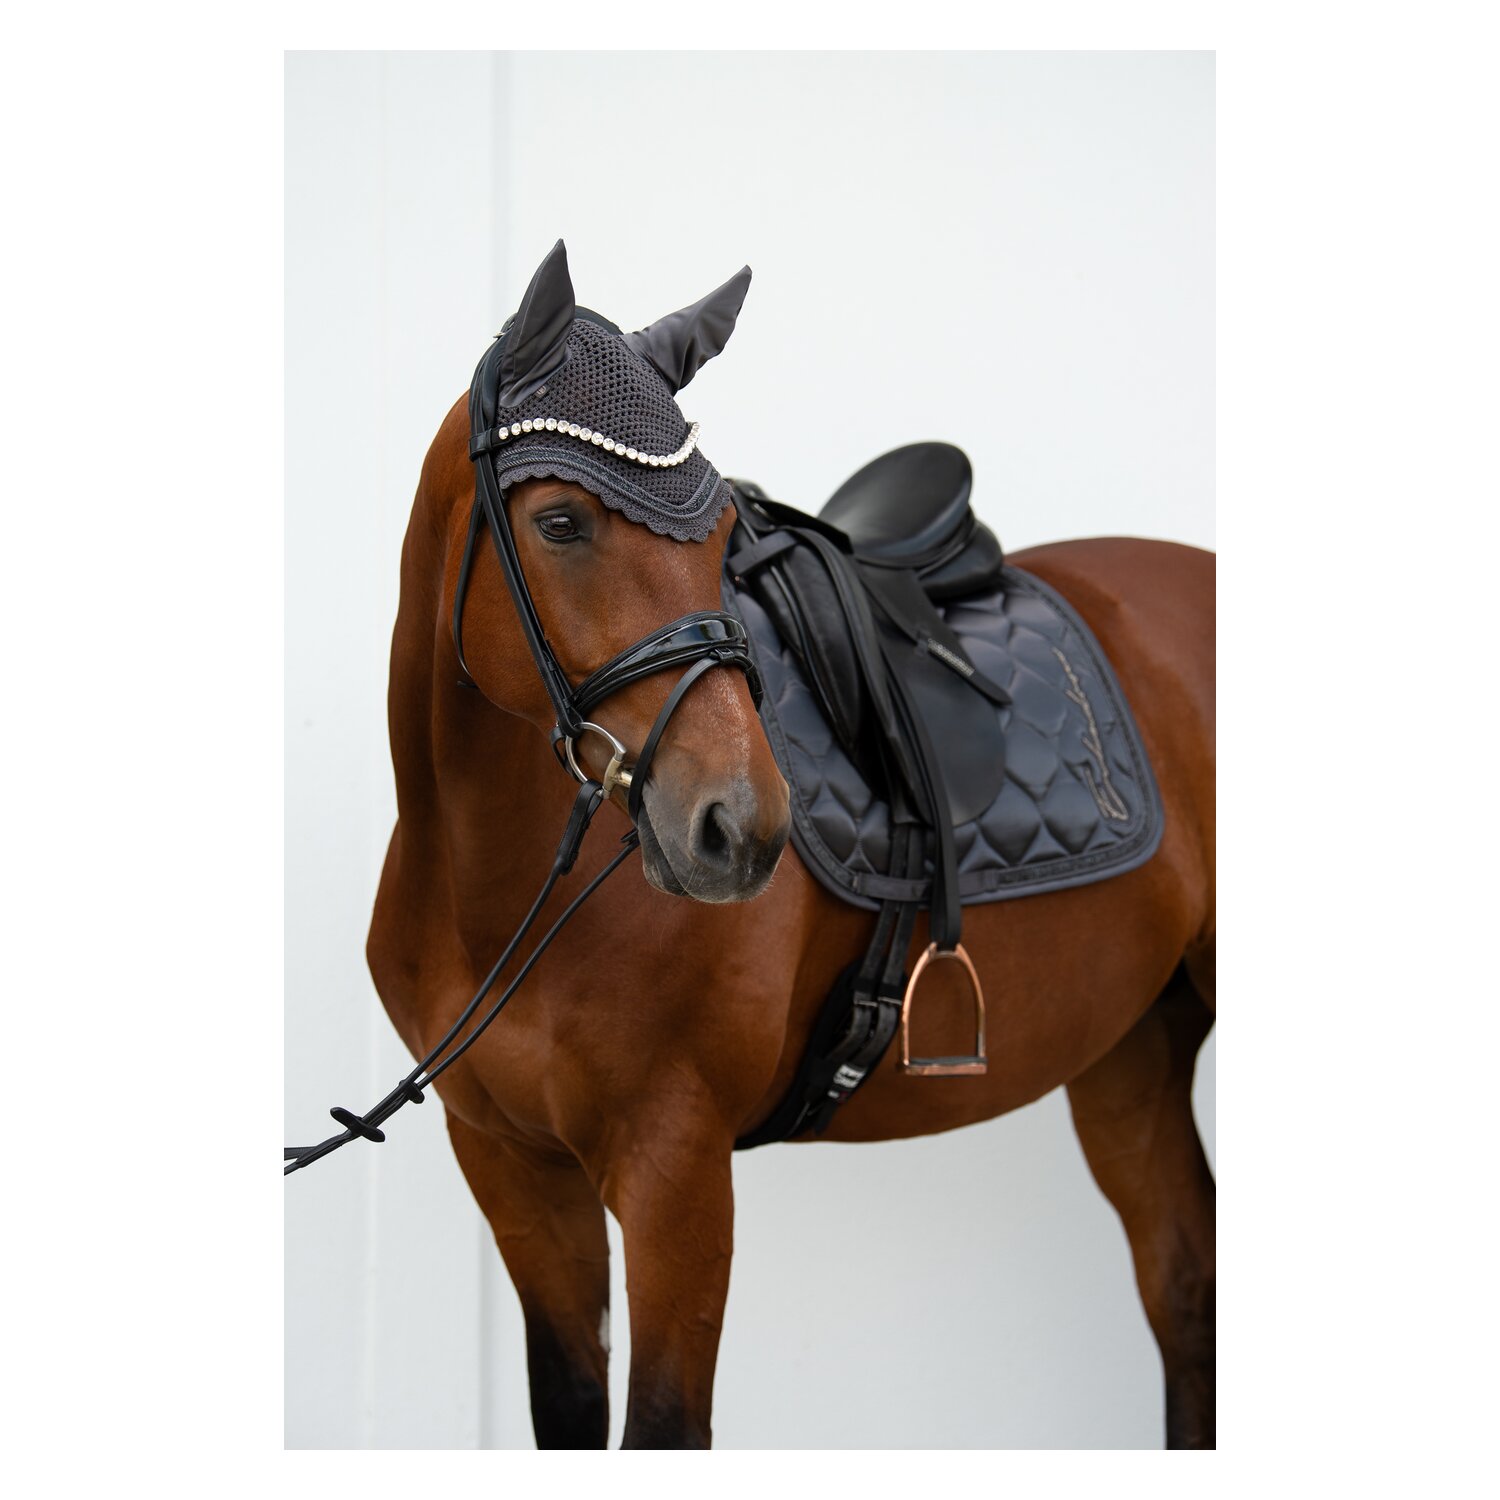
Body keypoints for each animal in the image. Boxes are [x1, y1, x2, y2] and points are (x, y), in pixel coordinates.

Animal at [365, 386, 1216, 1447]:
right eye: (560, 522)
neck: (499, 889)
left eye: (720, 531)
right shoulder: (510, 1163)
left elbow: (663, 1423)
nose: (739, 827)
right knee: (1184, 1290)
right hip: (1131, 1051)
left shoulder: (674, 1168)